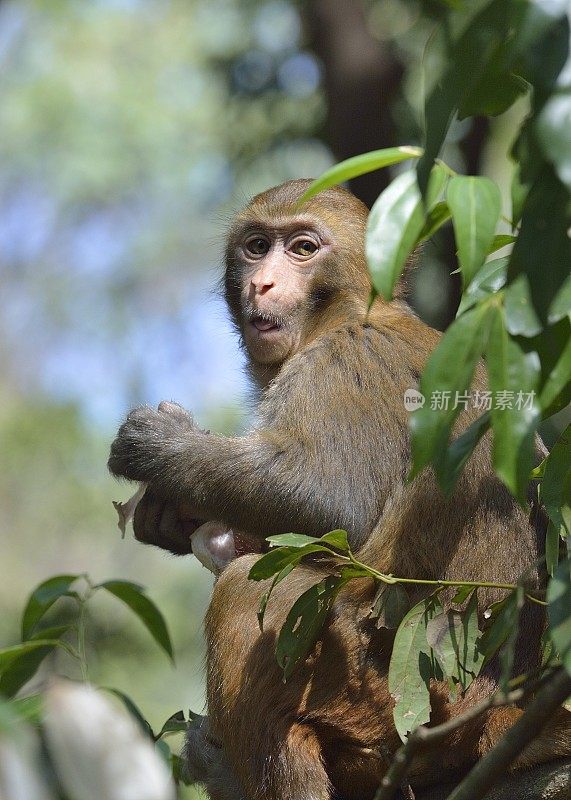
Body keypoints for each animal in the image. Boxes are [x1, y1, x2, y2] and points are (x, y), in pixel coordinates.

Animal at [108, 178, 571, 796]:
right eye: (256, 247)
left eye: (303, 248)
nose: (261, 282)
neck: (345, 312)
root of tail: (496, 707)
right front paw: (171, 518)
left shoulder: (344, 361)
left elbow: (328, 502)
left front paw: (160, 449)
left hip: (380, 693)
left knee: (247, 593)